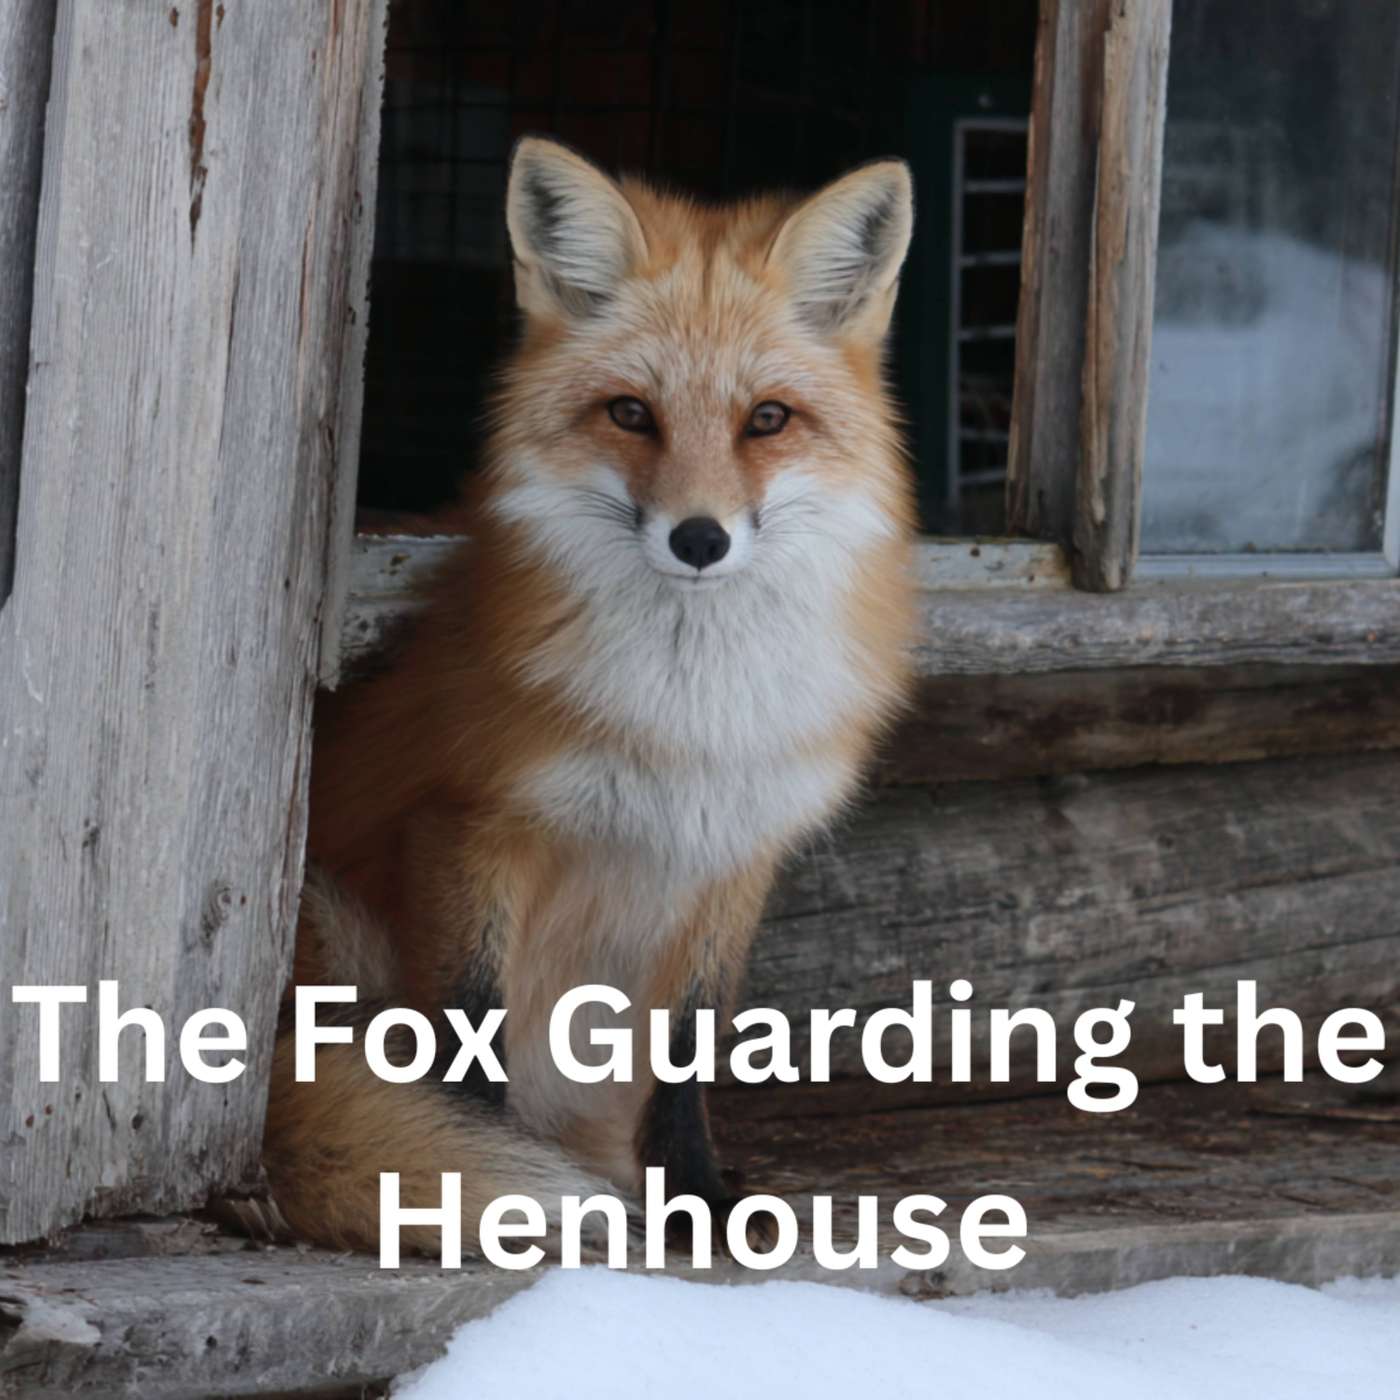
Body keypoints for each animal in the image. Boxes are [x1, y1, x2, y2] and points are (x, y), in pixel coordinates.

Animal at [256, 136, 918, 1258]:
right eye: (630, 414)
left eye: (767, 421)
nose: (699, 538)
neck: (689, 720)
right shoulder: (471, 822)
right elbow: (468, 1037)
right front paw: (472, 1169)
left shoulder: (733, 855)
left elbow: (688, 1051)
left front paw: (698, 1198)